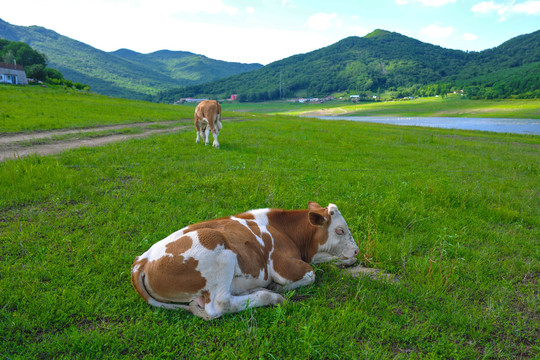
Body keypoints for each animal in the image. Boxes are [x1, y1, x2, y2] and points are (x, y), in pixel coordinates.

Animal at [131, 201, 358, 320]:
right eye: (339, 230)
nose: (356, 250)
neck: (285, 229)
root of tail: (142, 260)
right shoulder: (282, 265)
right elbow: (311, 274)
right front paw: (278, 287)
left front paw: (346, 261)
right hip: (218, 247)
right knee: (220, 304)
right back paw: (271, 296)